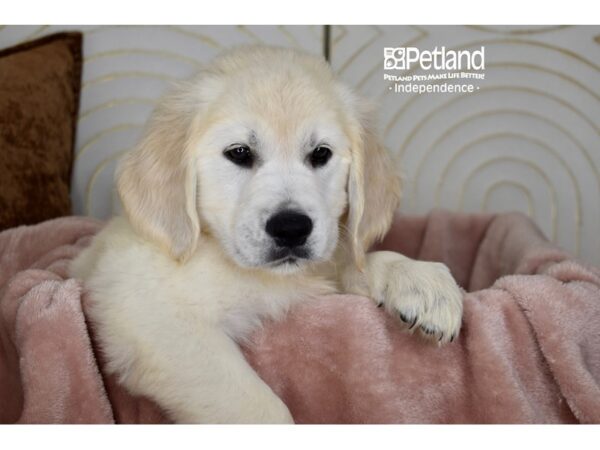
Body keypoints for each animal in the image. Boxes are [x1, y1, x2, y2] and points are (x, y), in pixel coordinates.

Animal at [71, 47, 464, 424]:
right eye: (239, 153)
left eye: (320, 153)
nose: (291, 228)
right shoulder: (149, 313)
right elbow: (259, 408)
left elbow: (356, 262)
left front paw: (418, 280)